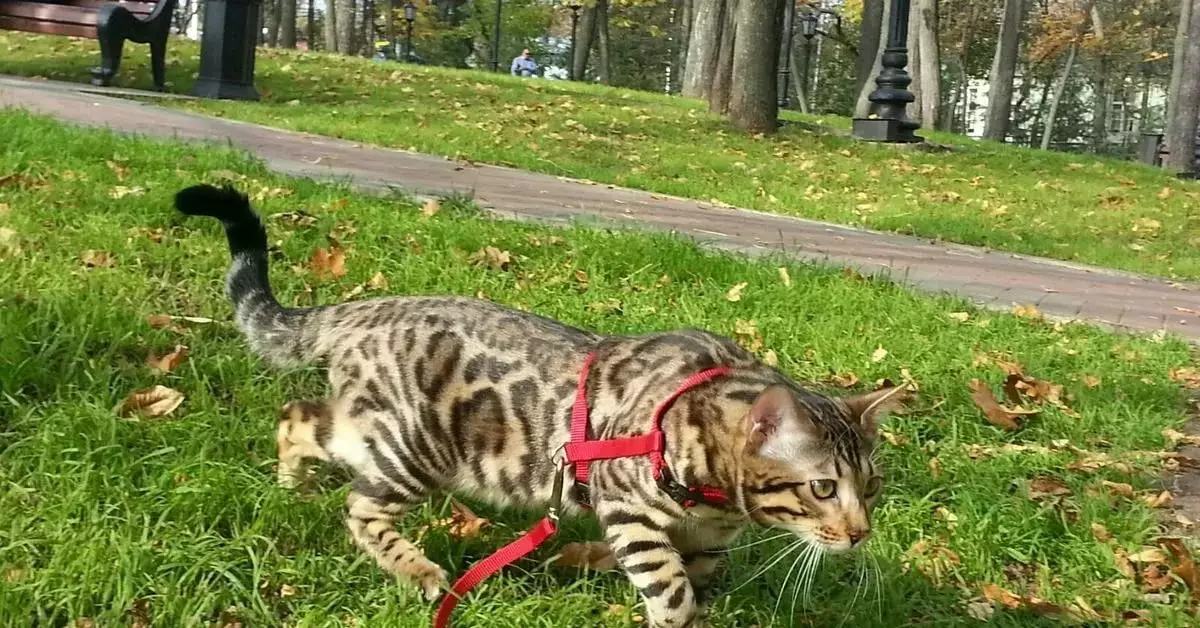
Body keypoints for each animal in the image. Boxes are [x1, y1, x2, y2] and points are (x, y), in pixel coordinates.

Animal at [174, 184, 902, 624]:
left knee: (297, 417)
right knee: (359, 508)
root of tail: (363, 307)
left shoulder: (699, 542)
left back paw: (291, 486)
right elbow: (670, 588)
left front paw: (584, 561)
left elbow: (677, 573)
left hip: (368, 428)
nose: (860, 532)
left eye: (872, 486)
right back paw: (418, 570)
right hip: (411, 446)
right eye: (822, 487)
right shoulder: (628, 504)